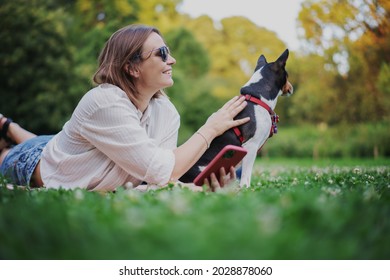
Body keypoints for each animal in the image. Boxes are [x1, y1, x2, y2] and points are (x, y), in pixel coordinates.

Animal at [180, 49, 292, 187]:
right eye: (288, 75)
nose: (291, 88)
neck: (257, 98)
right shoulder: (251, 146)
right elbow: (246, 176)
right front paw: (246, 189)